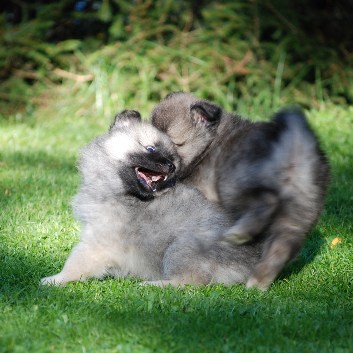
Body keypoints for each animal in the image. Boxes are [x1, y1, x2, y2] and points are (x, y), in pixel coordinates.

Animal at [40, 109, 262, 286]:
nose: (171, 166)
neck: (123, 193)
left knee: (190, 281)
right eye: (150, 149)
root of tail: (252, 263)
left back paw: (153, 285)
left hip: (181, 247)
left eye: (173, 160)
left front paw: (54, 280)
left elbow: (75, 263)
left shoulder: (98, 242)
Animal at [151, 93, 330, 288]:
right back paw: (258, 282)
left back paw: (241, 233)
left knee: (266, 201)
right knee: (282, 246)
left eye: (175, 144)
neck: (209, 143)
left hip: (233, 182)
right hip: (300, 210)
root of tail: (294, 142)